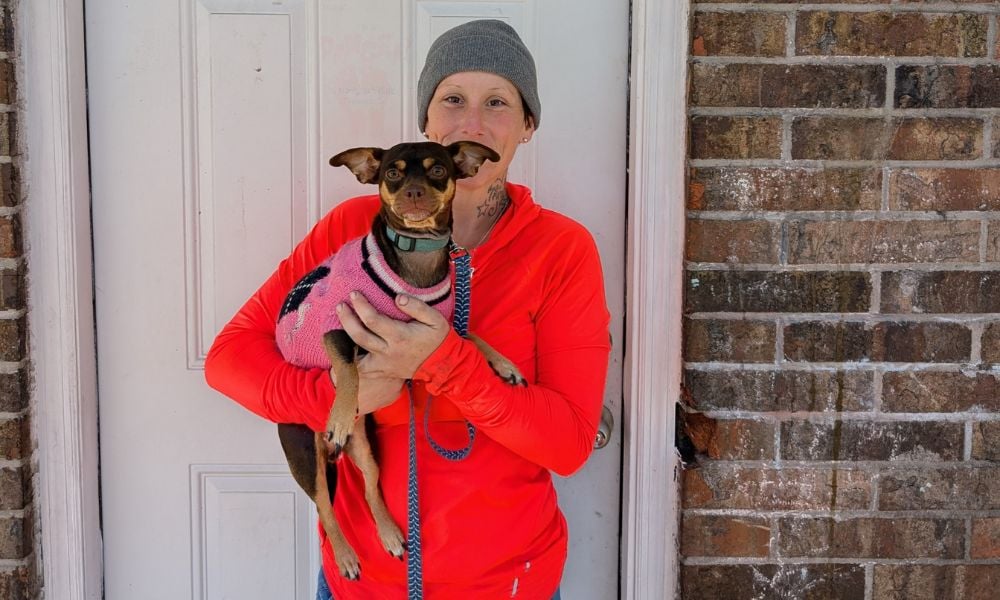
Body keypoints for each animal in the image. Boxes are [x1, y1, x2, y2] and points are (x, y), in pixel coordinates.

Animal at [274, 141, 524, 580]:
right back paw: (345, 555)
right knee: (325, 507)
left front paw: (503, 362)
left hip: (367, 448)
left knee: (371, 487)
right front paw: (340, 413)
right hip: (304, 455)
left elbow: (472, 337)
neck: (415, 260)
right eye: (392, 173)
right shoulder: (335, 324)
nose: (413, 191)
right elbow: (348, 369)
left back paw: (389, 532)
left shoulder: (440, 330)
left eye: (438, 169)